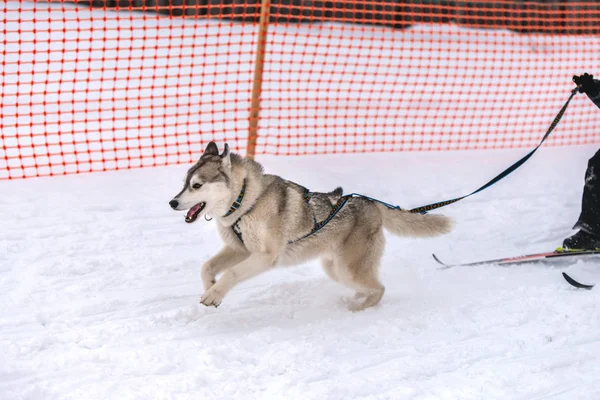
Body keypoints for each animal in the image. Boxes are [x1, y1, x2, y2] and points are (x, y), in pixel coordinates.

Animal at [169, 142, 450, 310]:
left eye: (197, 185)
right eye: (184, 183)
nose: (172, 202)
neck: (245, 200)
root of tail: (371, 203)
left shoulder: (264, 257)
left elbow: (232, 273)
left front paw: (214, 294)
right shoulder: (240, 249)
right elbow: (207, 267)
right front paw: (211, 287)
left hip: (348, 270)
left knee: (379, 289)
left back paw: (358, 308)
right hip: (335, 269)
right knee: (369, 286)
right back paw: (356, 299)